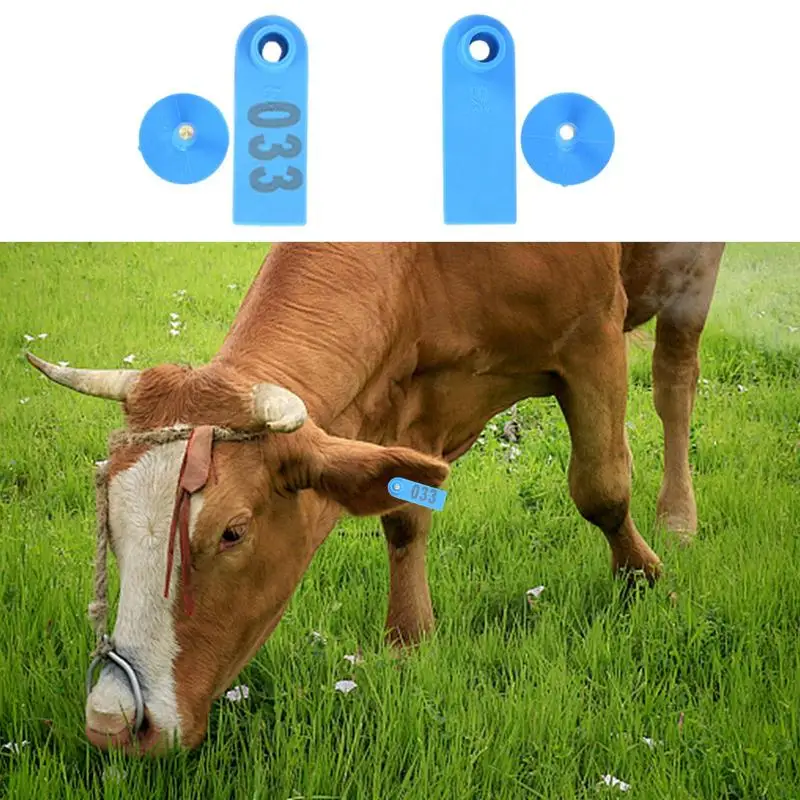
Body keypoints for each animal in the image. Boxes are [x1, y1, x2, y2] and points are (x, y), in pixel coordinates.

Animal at [28, 242, 723, 753]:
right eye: (111, 527)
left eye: (233, 531)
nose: (113, 725)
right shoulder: (404, 397)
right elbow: (404, 514)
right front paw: (410, 640)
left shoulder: (592, 332)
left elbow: (601, 486)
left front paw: (642, 575)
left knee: (674, 382)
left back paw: (677, 518)